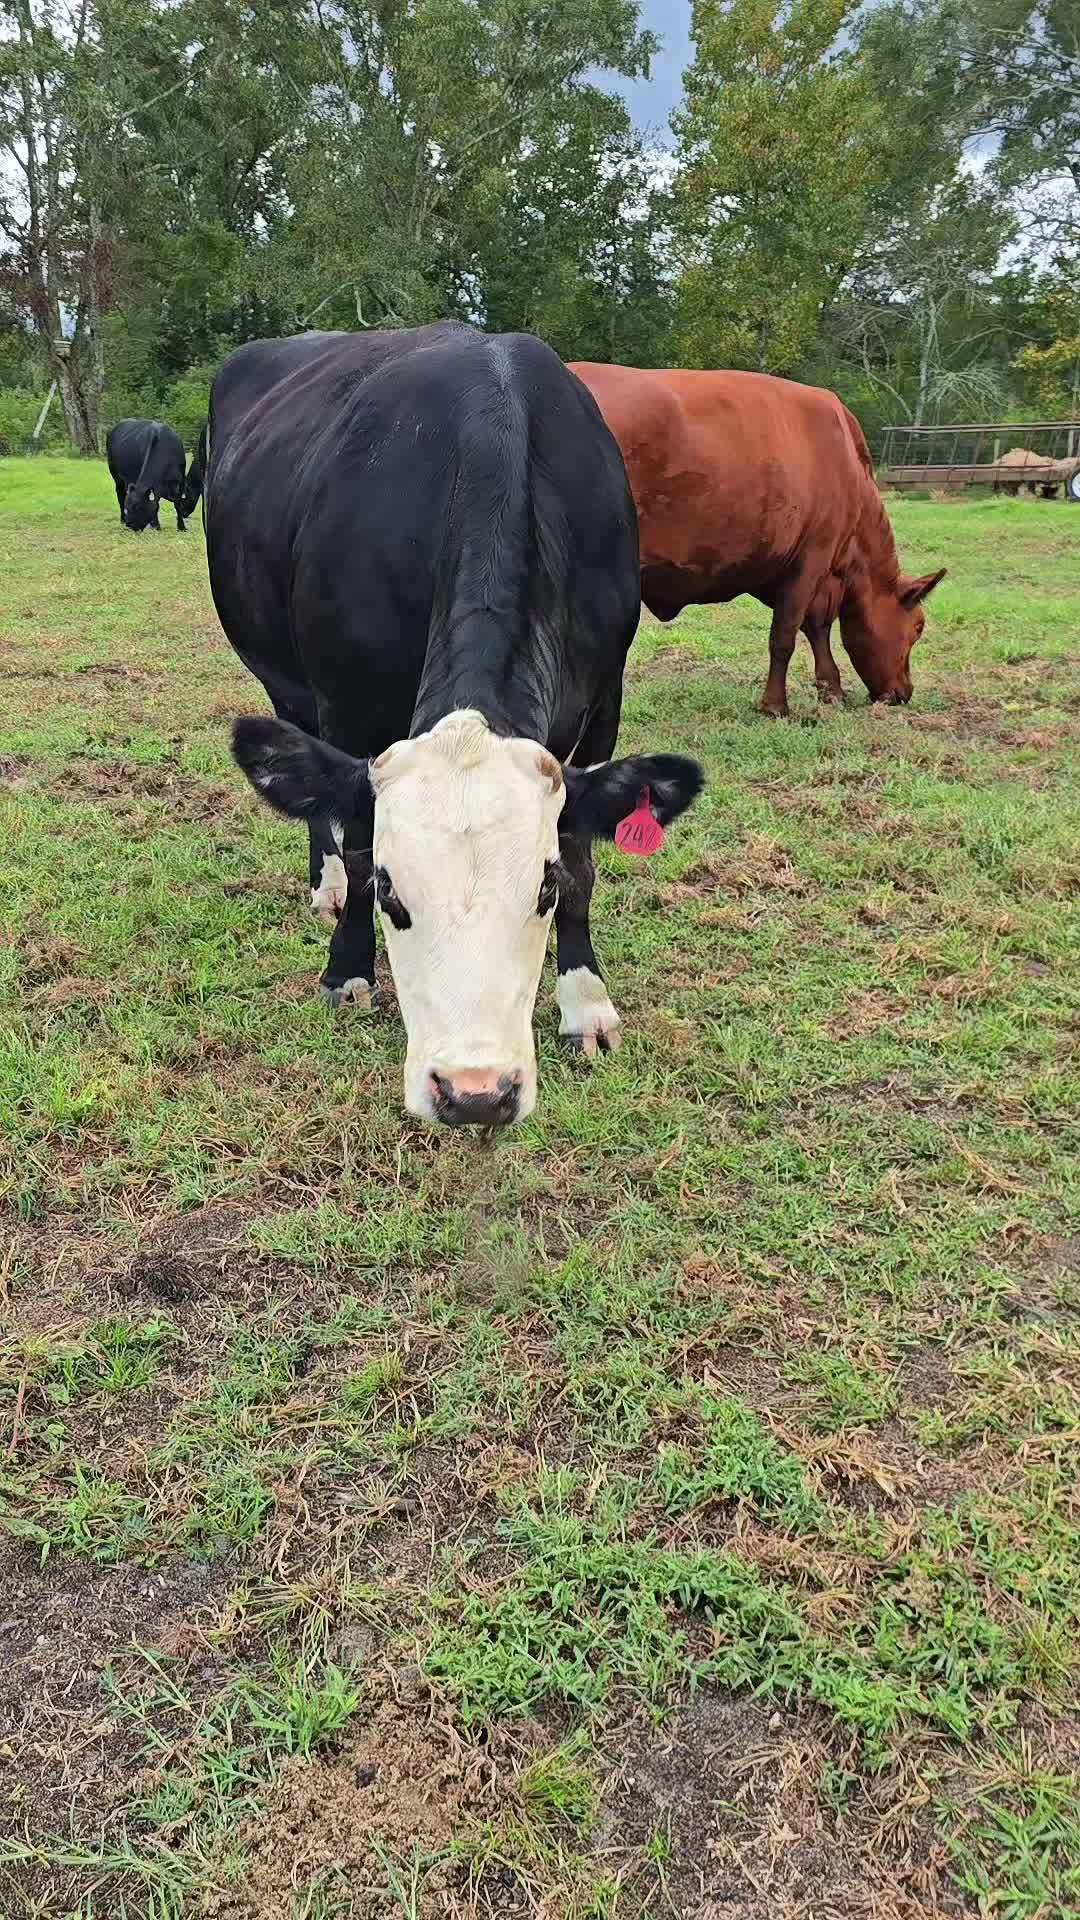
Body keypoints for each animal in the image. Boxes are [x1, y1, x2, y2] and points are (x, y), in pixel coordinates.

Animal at [207, 324, 703, 1128]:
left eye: (542, 890)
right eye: (391, 893)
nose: (476, 1093)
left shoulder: (605, 703)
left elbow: (586, 858)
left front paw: (584, 1000)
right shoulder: (348, 707)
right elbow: (354, 835)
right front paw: (347, 966)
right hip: (280, 681)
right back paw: (324, 888)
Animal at [569, 364, 946, 717]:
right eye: (919, 627)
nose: (904, 692)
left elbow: (817, 627)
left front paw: (832, 689)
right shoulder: (812, 560)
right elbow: (785, 635)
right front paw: (776, 705)